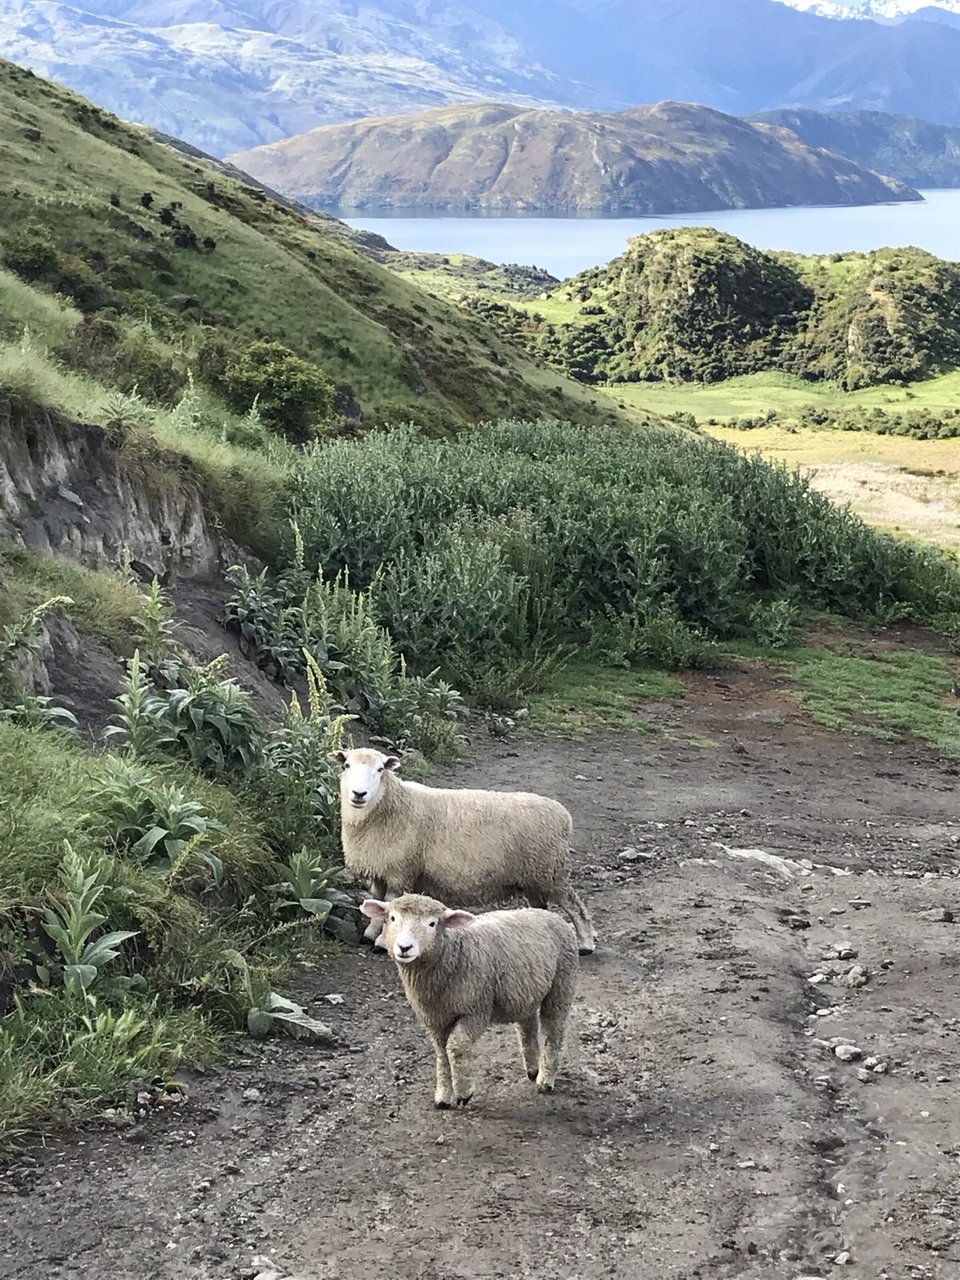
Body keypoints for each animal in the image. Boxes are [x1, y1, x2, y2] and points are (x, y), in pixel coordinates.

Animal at [335, 747, 599, 957]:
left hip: (551, 871)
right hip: (533, 877)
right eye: (347, 766)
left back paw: (586, 944)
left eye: (380, 769)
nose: (359, 794)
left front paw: (380, 942)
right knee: (541, 906)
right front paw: (370, 934)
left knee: (574, 906)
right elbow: (376, 904)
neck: (392, 807)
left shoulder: (400, 871)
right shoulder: (380, 868)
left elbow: (389, 905)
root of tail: (563, 815)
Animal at [358, 890, 576, 1111]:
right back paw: (532, 1069)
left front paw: (464, 1092)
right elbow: (441, 1053)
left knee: (553, 1032)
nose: (404, 947)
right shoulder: (434, 1019)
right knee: (527, 1025)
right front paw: (443, 1095)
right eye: (393, 918)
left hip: (561, 985)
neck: (451, 954)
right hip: (524, 992)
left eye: (432, 923)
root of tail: (550, 914)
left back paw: (545, 1080)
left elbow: (456, 1047)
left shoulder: (476, 1009)